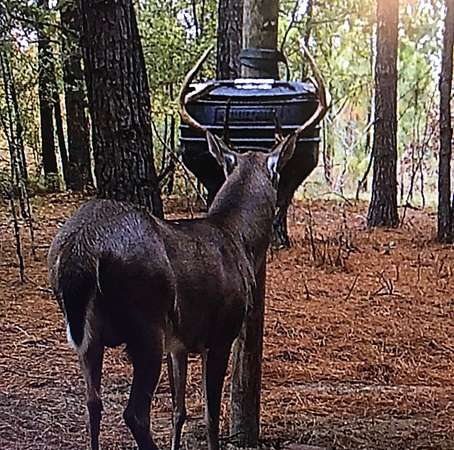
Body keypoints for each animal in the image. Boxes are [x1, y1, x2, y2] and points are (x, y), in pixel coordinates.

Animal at [47, 44, 328, 450]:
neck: (238, 237)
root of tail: (81, 250)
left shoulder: (178, 344)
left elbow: (179, 411)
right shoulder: (222, 332)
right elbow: (210, 415)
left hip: (89, 336)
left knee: (93, 405)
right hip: (145, 321)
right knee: (134, 413)